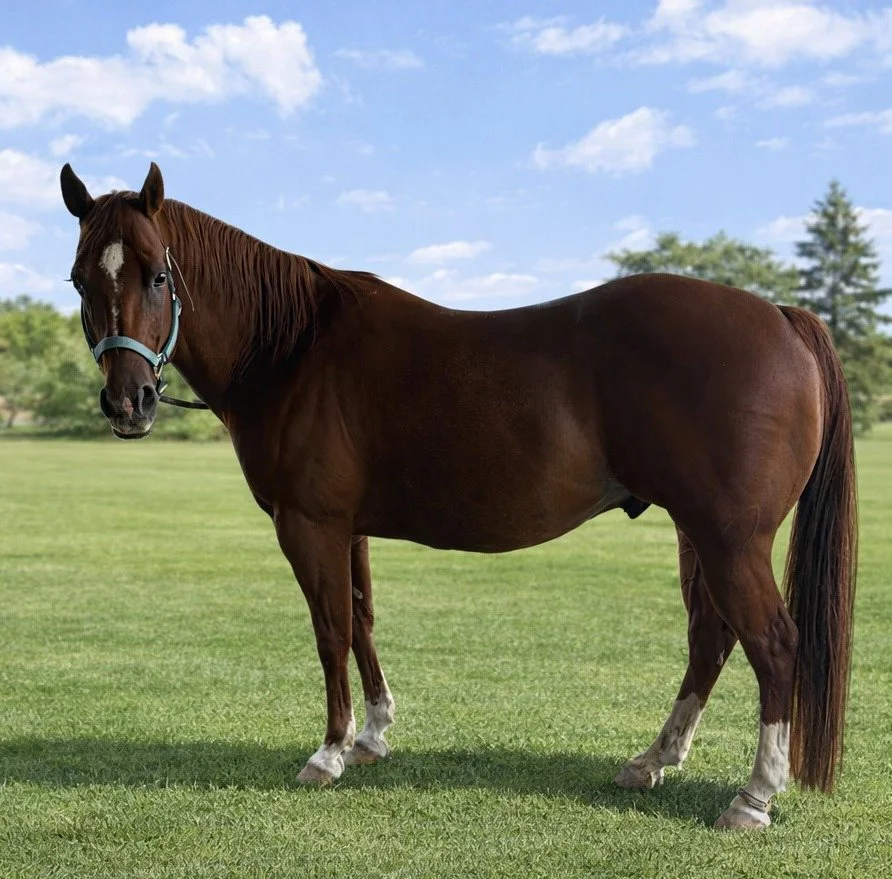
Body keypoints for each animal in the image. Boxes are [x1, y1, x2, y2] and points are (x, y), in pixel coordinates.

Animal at [60, 162, 857, 830]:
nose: (128, 402)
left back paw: (753, 797)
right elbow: (362, 620)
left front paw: (328, 753)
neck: (294, 348)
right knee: (711, 639)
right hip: (699, 533)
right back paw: (653, 760)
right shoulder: (347, 526)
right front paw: (373, 735)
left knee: (773, 645)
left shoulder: (309, 524)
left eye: (158, 276)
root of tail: (779, 316)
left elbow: (330, 632)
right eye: (78, 281)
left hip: (729, 539)